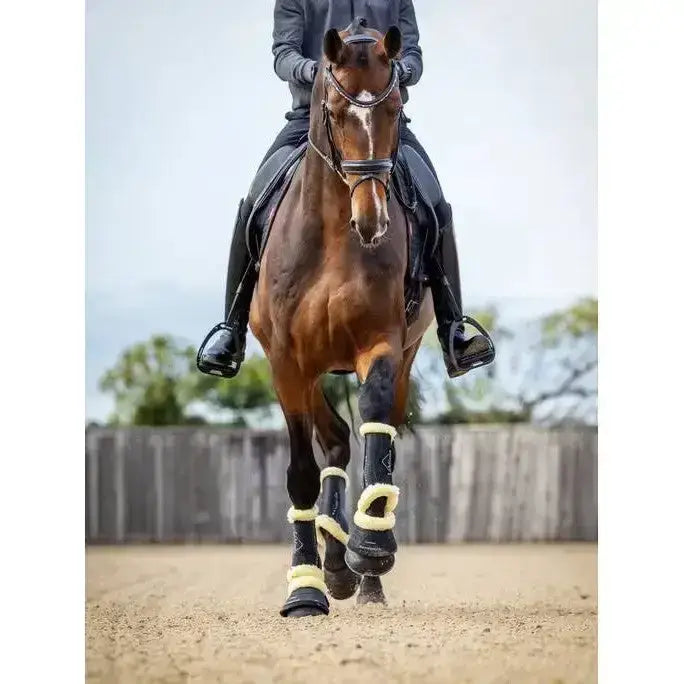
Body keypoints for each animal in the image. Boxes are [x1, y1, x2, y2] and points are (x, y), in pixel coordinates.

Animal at [250, 23, 434, 617]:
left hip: (404, 356)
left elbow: (375, 417)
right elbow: (301, 473)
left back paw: (362, 575)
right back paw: (330, 566)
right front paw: (305, 589)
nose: (371, 220)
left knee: (370, 431)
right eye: (332, 110)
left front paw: (371, 550)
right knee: (331, 440)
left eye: (396, 107)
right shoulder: (286, 361)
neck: (333, 236)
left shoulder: (381, 344)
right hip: (305, 370)